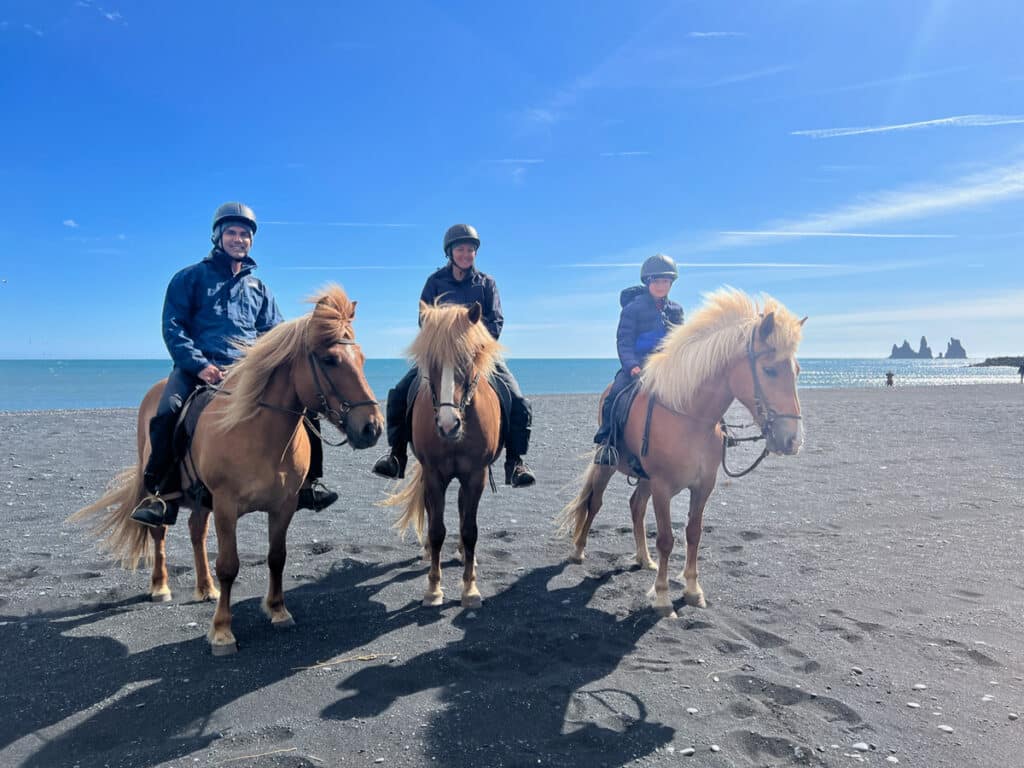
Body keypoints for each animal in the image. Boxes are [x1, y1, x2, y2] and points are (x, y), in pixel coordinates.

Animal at [70, 286, 385, 655]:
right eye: (330, 360)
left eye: (361, 358)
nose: (372, 428)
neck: (257, 433)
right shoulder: (225, 506)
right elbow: (229, 566)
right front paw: (222, 631)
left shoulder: (284, 505)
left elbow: (277, 557)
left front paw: (277, 610)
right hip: (163, 494)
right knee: (159, 533)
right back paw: (161, 586)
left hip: (201, 500)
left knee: (195, 532)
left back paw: (206, 588)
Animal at [382, 301, 501, 606]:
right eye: (431, 362)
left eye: (468, 359)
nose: (448, 425)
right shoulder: (434, 474)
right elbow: (436, 530)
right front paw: (433, 589)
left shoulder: (475, 475)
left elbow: (470, 530)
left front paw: (470, 589)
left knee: (461, 511)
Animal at [561, 288, 806, 618]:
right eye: (769, 370)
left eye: (796, 371)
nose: (792, 440)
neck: (691, 418)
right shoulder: (663, 487)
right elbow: (666, 538)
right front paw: (663, 597)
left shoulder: (702, 486)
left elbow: (694, 533)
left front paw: (692, 590)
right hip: (608, 465)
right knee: (594, 502)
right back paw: (578, 550)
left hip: (645, 479)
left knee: (636, 505)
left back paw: (644, 558)